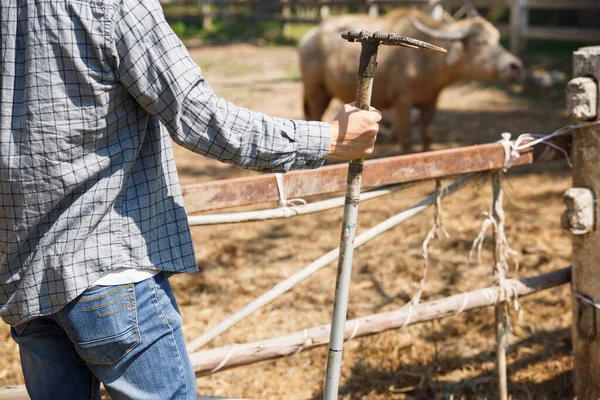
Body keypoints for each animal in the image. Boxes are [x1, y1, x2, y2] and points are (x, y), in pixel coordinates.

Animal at [298, 9, 524, 153]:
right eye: (480, 42)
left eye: (496, 39)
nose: (515, 66)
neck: (426, 61)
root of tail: (309, 37)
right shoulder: (402, 102)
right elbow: (406, 138)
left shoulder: (431, 100)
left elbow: (427, 136)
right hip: (315, 90)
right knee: (314, 116)